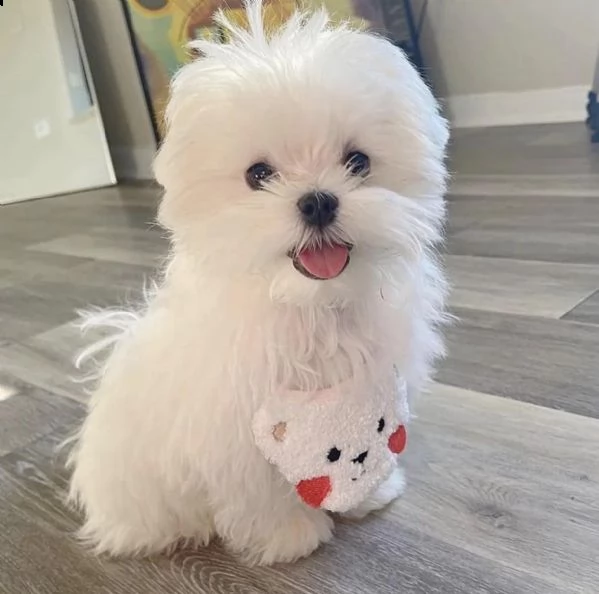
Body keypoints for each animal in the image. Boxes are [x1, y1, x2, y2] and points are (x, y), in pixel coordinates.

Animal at [68, 0, 448, 564]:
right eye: (258, 174)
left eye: (358, 161)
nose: (317, 200)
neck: (313, 307)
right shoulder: (236, 431)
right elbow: (261, 491)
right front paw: (288, 536)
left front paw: (369, 494)